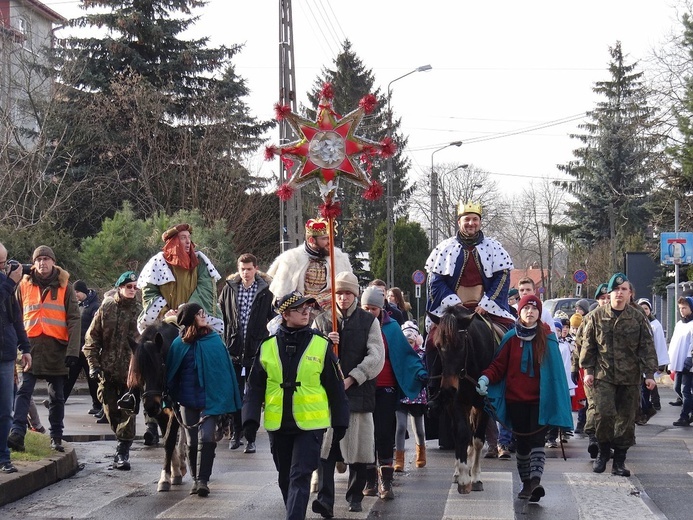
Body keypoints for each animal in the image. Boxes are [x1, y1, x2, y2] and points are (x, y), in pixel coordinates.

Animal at [126, 320, 187, 492]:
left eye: (160, 368)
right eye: (137, 372)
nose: (150, 406)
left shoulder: (174, 408)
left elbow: (169, 439)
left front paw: (166, 477)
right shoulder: (160, 411)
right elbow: (167, 437)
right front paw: (173, 471)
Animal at [428, 304, 498, 496]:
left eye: (460, 345)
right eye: (438, 346)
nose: (448, 389)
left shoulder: (484, 405)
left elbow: (478, 440)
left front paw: (475, 478)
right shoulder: (457, 403)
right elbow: (461, 433)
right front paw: (464, 477)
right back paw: (458, 472)